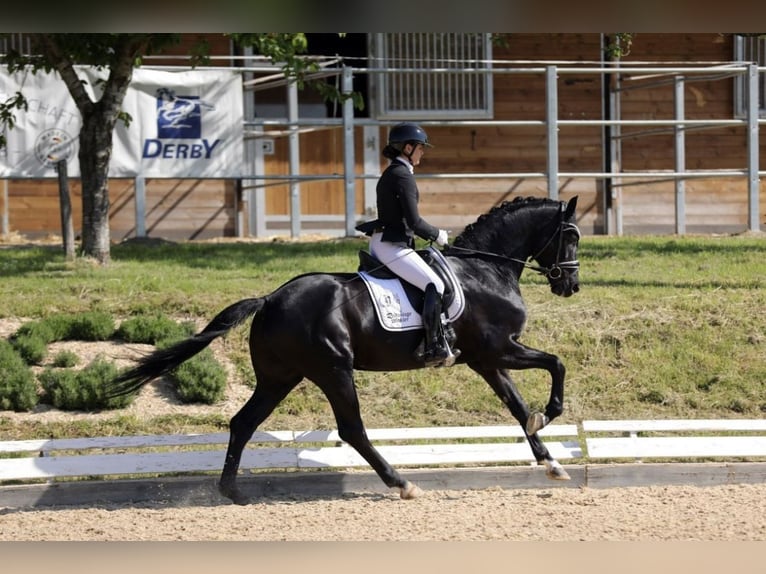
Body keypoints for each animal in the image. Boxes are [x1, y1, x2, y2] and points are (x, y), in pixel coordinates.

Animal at [108, 196, 584, 506]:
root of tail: (270, 299)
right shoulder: (499, 349)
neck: (486, 267)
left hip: (280, 377)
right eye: (570, 237)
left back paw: (233, 492)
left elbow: (518, 408)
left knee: (243, 423)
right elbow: (556, 364)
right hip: (334, 370)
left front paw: (552, 464)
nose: (571, 285)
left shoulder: (486, 360)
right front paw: (552, 413)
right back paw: (401, 484)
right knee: (352, 429)